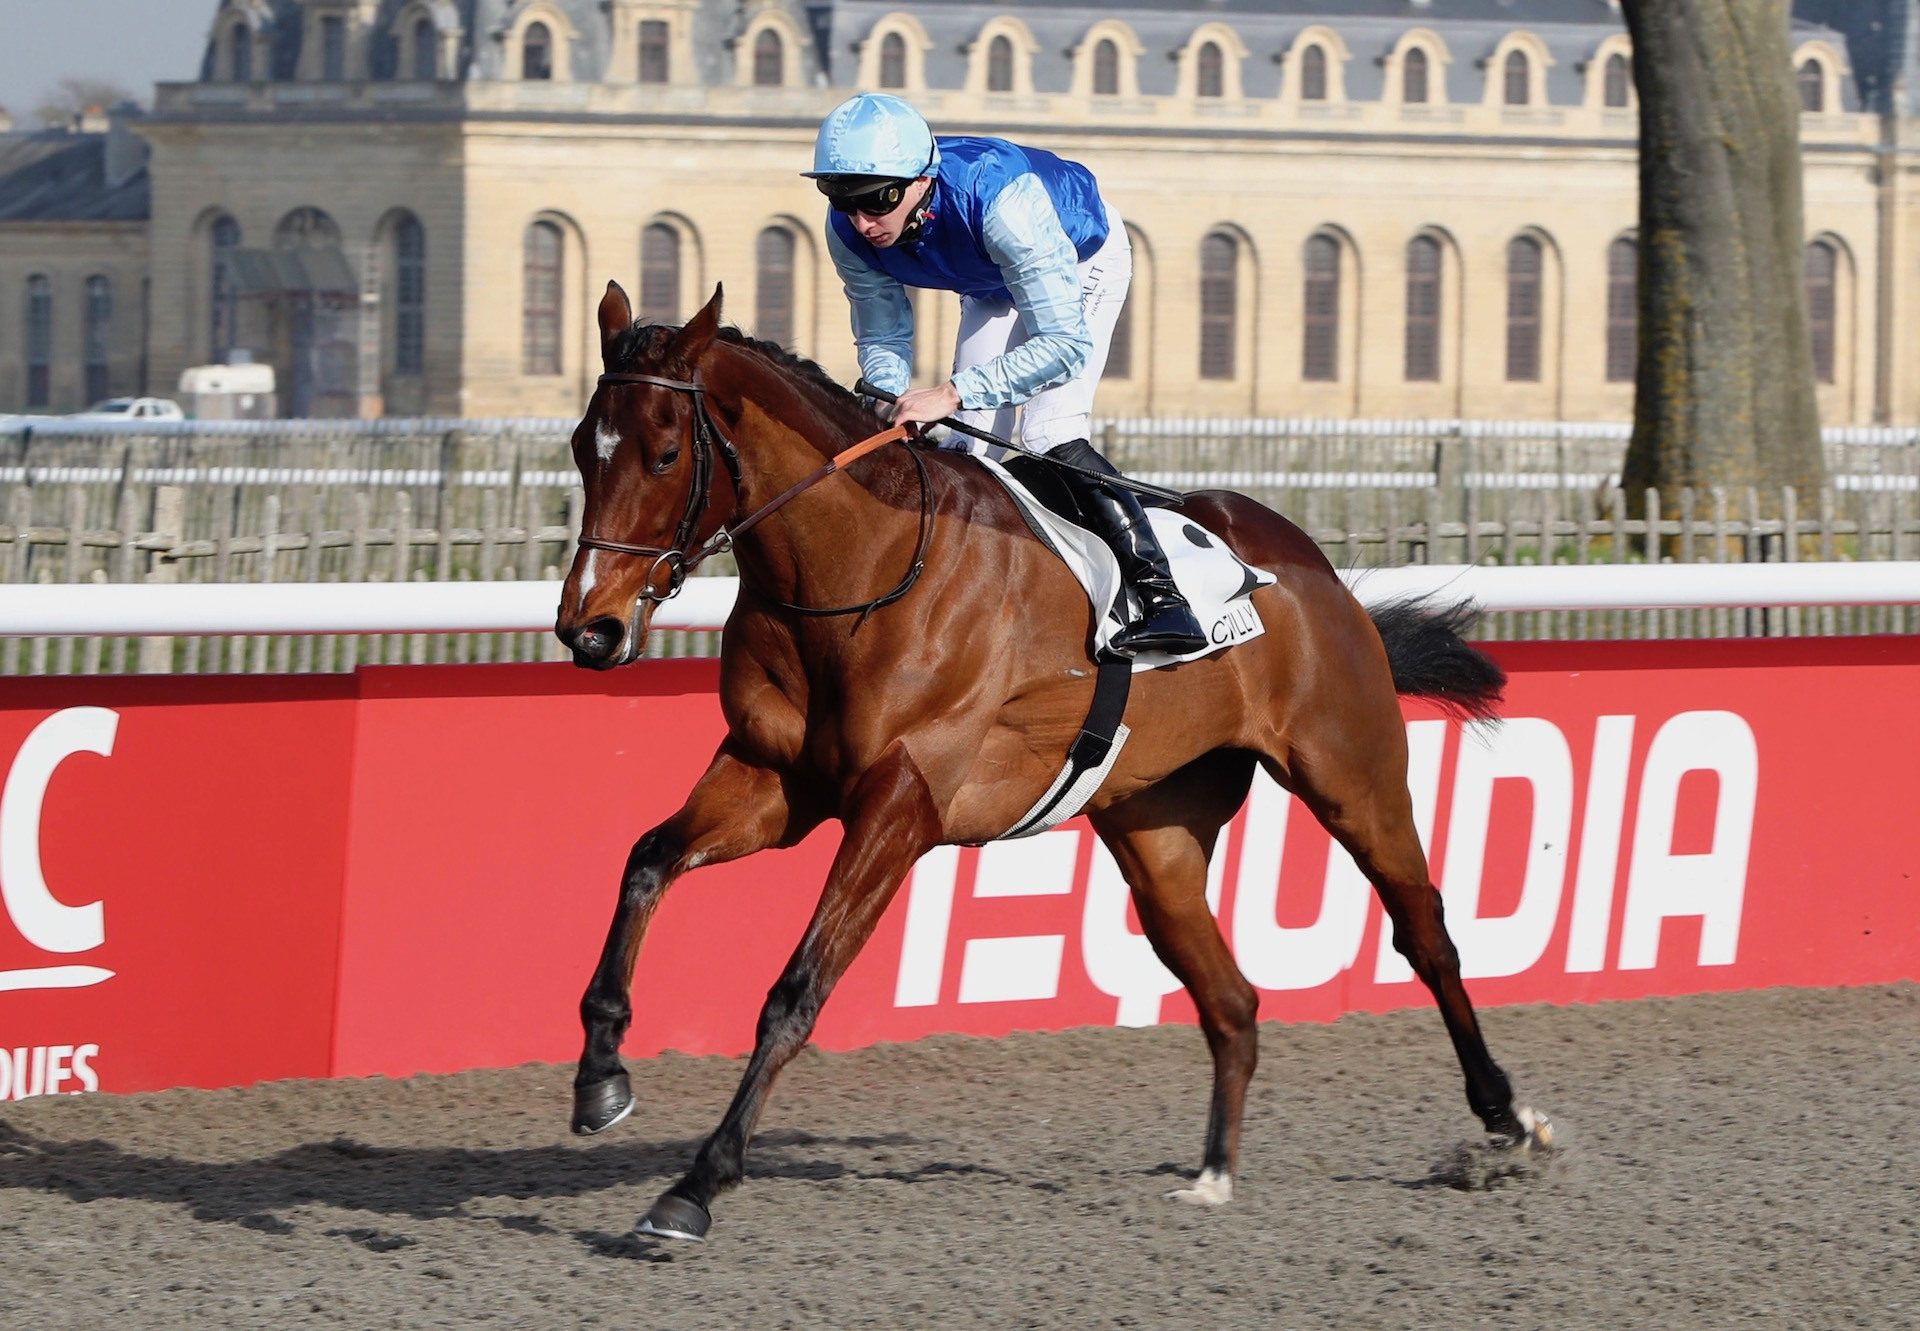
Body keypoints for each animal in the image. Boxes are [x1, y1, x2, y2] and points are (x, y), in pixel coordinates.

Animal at [552, 282, 1543, 1244]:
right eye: (580, 449)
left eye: (665, 452)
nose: (589, 629)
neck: (861, 572)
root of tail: (1317, 568)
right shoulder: (774, 778)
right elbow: (647, 859)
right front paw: (601, 1075)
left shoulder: (900, 804)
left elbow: (797, 989)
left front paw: (697, 1183)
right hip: (1156, 832)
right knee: (1231, 998)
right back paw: (1214, 1172)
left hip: (1352, 775)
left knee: (1425, 931)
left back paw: (1507, 1117)